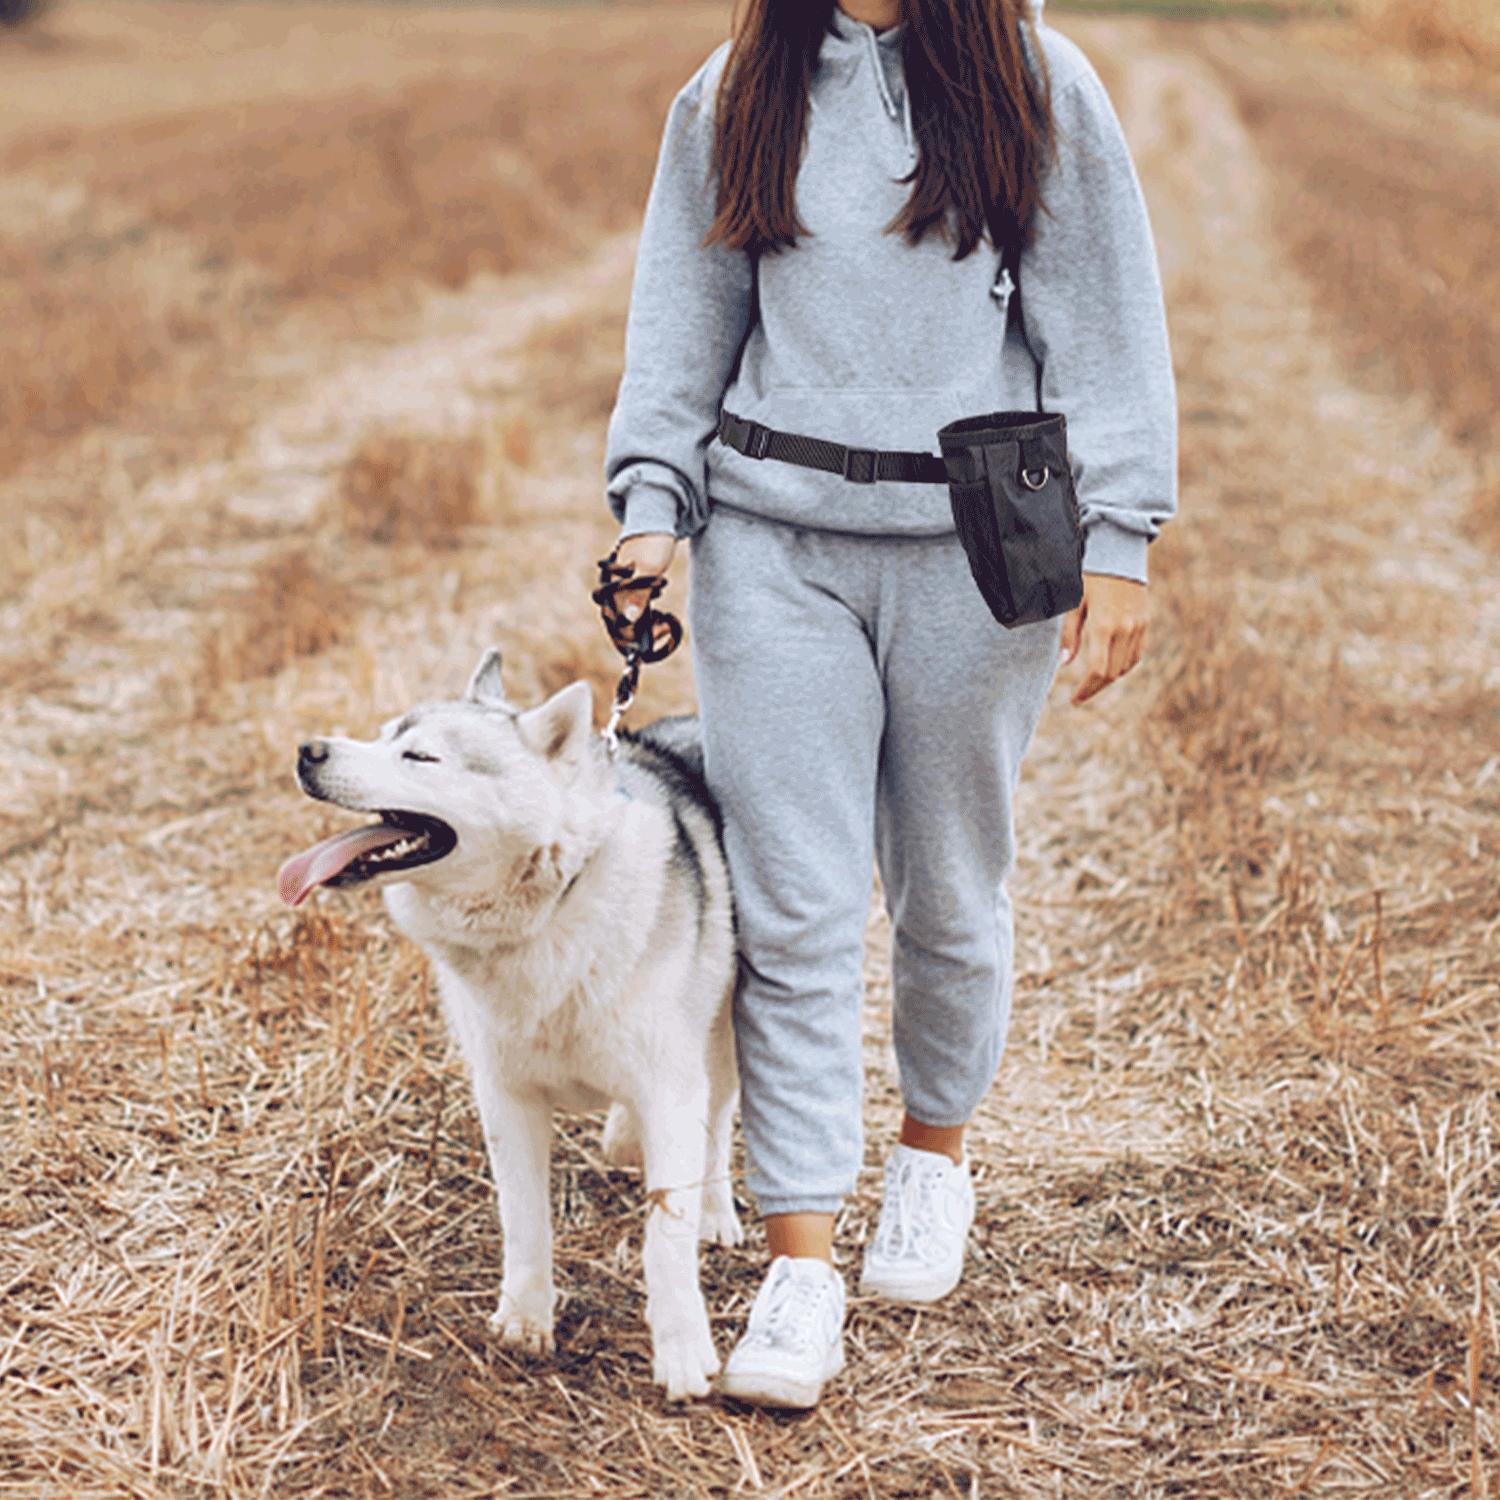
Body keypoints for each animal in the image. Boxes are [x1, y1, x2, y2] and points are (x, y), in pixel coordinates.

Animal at [277, 651, 744, 1398]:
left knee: (719, 1125)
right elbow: (525, 1223)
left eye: (420, 756)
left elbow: (664, 1240)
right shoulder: (507, 1099)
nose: (308, 751)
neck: (548, 913)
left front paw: (680, 1351)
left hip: (722, 1037)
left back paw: (715, 1211)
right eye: (381, 734)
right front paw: (526, 1321)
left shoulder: (671, 1087)